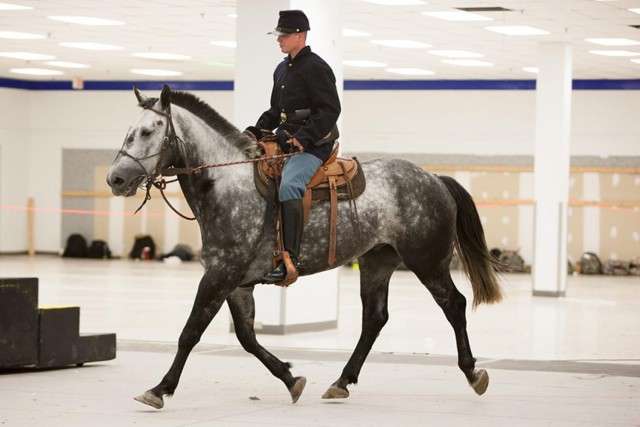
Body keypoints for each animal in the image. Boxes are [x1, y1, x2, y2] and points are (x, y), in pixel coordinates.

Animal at [106, 85, 504, 410]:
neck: (226, 183)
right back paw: (342, 381)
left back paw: (473, 373)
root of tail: (434, 178)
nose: (116, 179)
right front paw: (290, 378)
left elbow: (190, 333)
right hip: (377, 263)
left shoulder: (219, 277)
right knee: (374, 319)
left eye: (147, 131)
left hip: (428, 261)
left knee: (454, 305)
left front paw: (160, 388)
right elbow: (247, 338)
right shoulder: (236, 283)